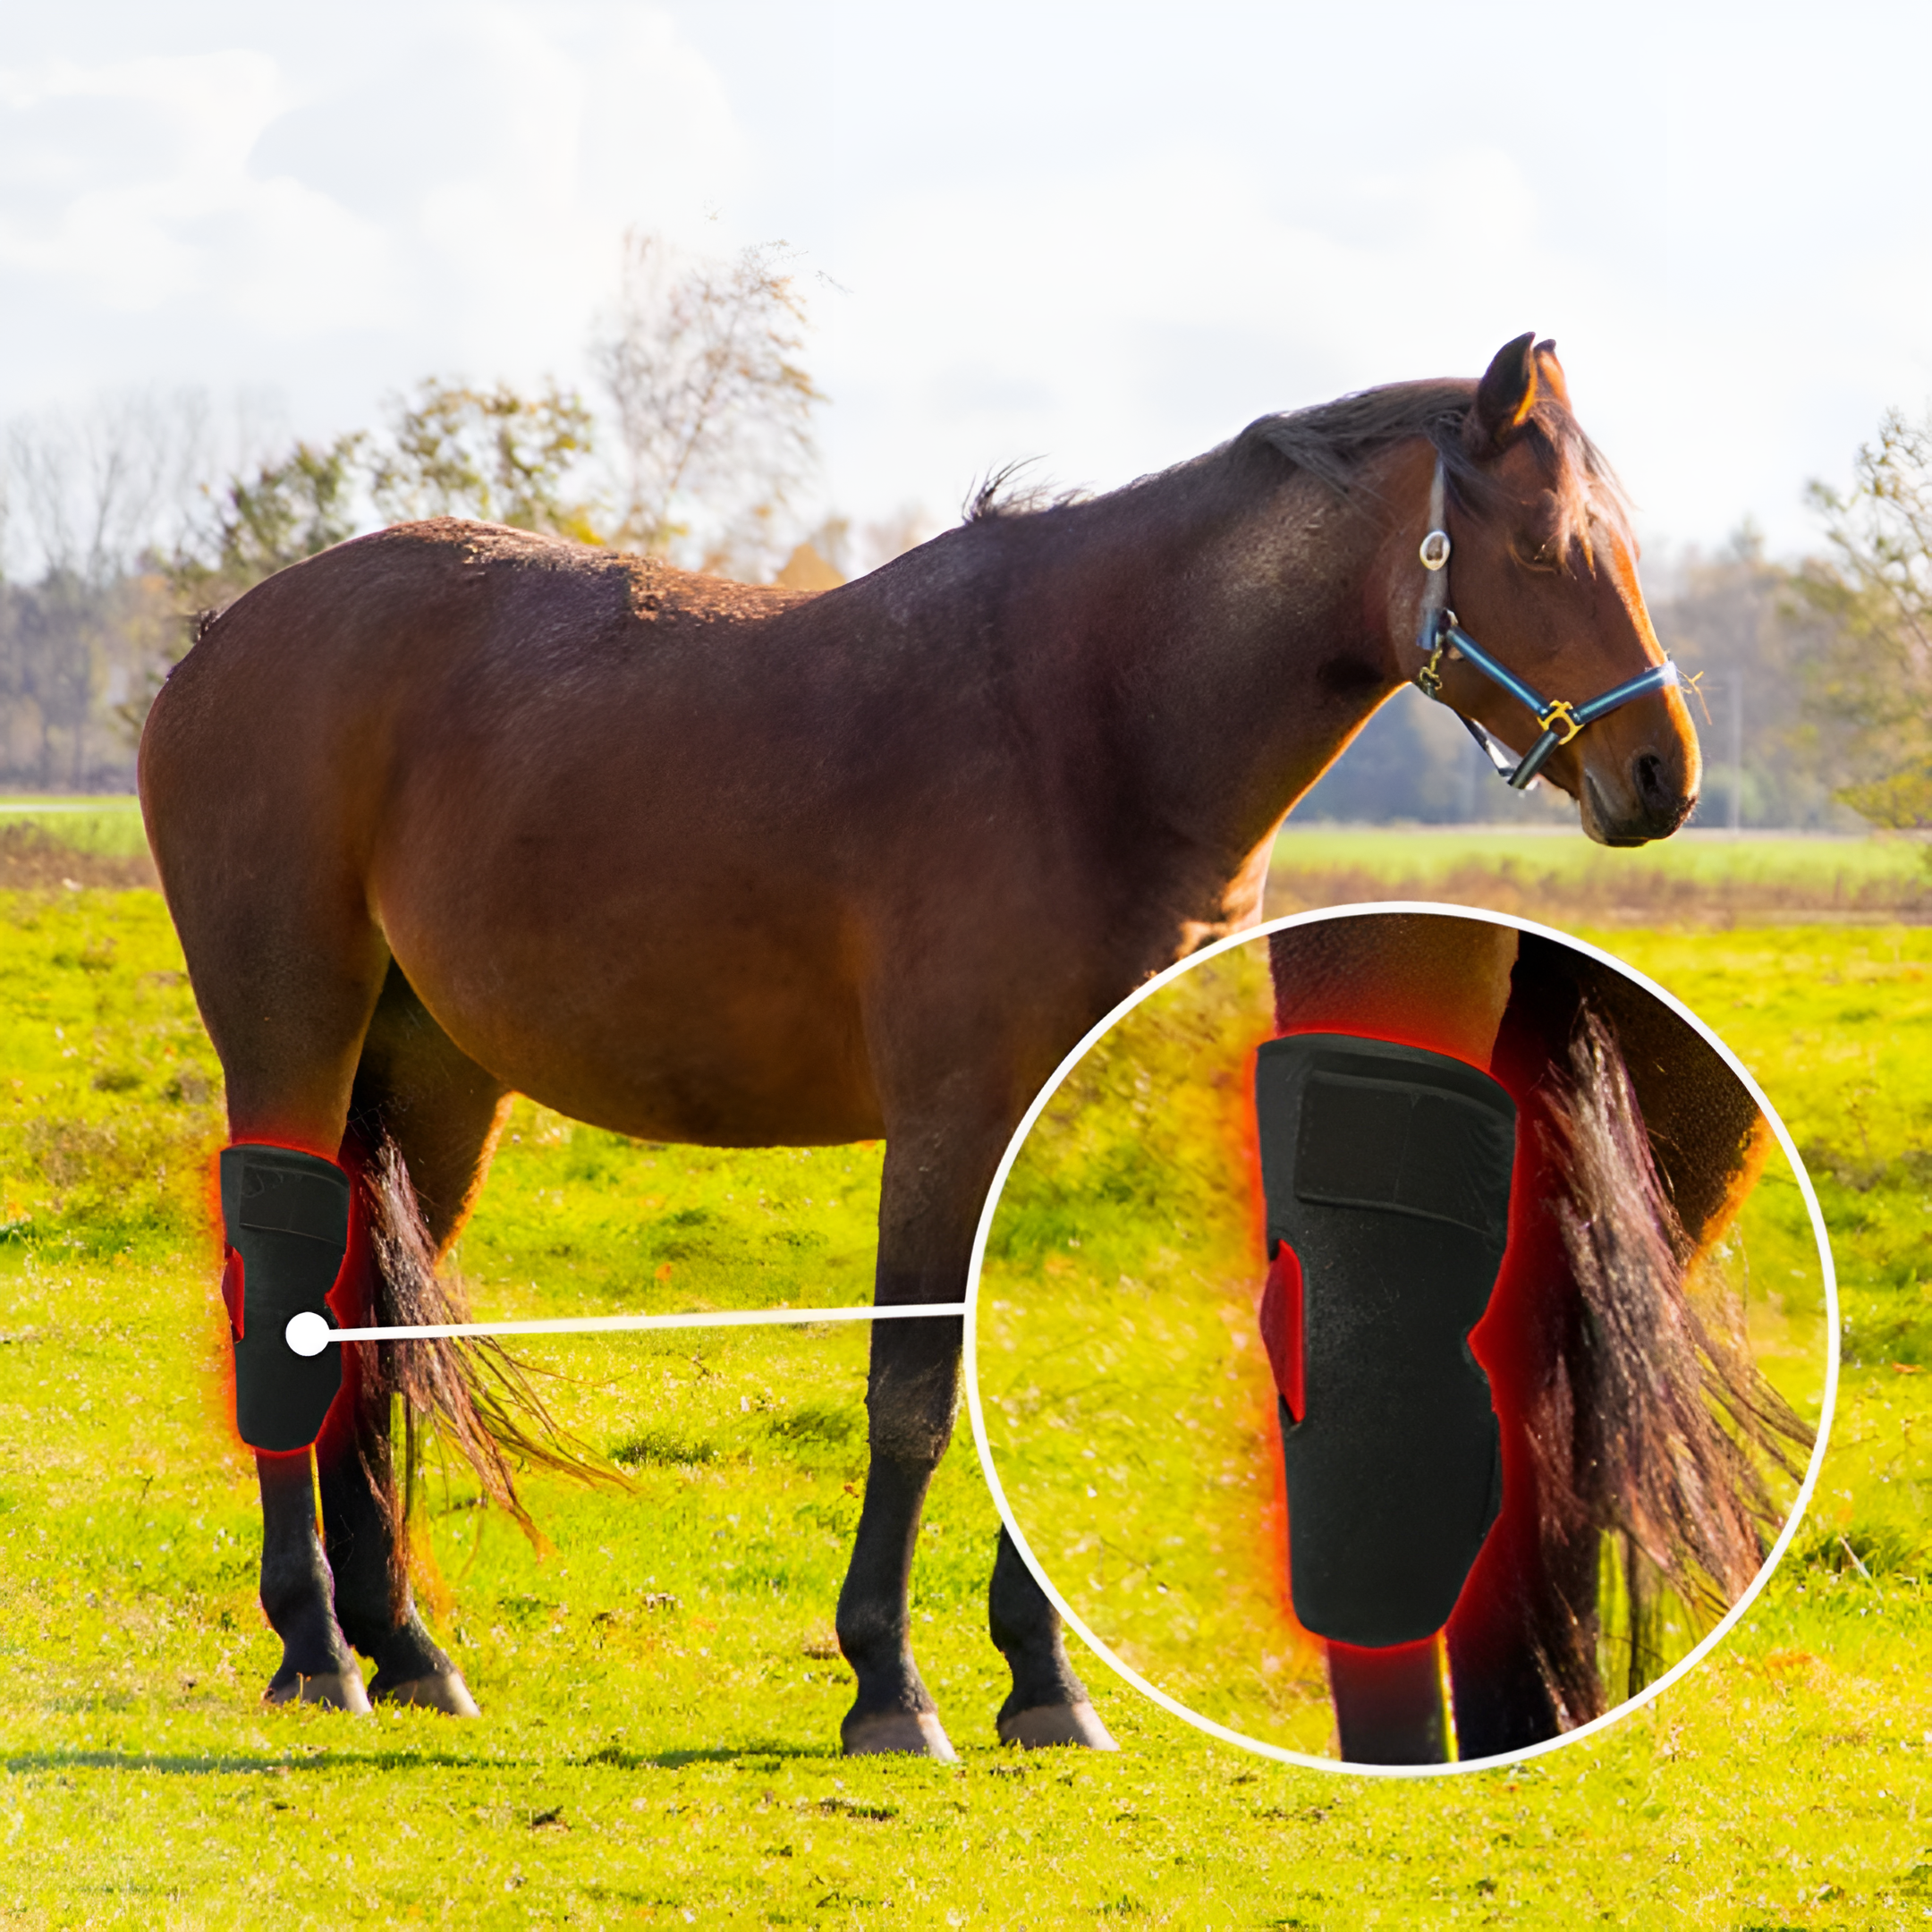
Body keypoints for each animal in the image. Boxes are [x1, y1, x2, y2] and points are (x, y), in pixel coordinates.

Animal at [137, 331, 1701, 1757]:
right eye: (1550, 547)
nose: (1661, 774)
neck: (1092, 719)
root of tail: (219, 641)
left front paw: (1048, 1689)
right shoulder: (953, 1117)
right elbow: (911, 1395)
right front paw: (891, 1685)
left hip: (436, 1078)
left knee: (364, 1316)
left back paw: (403, 1648)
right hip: (292, 1036)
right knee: (281, 1299)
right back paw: (315, 1649)